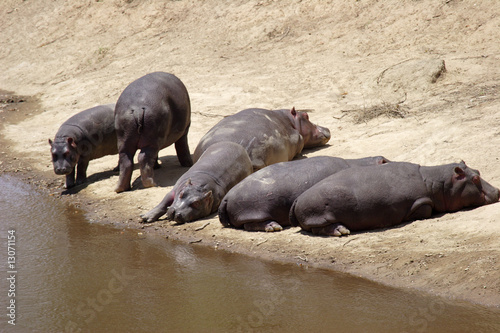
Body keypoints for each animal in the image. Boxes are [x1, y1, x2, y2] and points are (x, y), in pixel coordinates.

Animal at [290, 160, 500, 235]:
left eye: (478, 171)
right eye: (475, 178)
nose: (498, 191)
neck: (437, 182)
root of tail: (296, 200)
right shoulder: (419, 202)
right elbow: (425, 208)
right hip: (319, 214)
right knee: (320, 228)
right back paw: (342, 231)